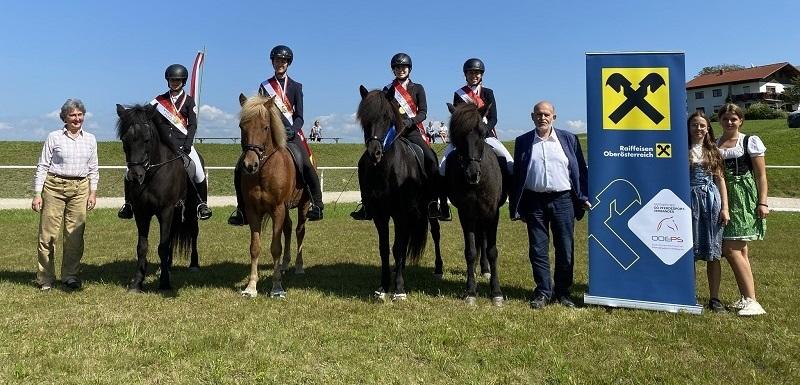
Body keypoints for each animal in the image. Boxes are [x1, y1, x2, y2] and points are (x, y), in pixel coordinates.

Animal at [116, 103, 202, 292]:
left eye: (147, 139)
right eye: (124, 140)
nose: (135, 176)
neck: (151, 174)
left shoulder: (166, 211)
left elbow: (162, 246)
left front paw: (164, 283)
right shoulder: (141, 212)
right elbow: (142, 247)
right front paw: (137, 283)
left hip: (190, 211)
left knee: (194, 233)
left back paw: (193, 264)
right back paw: (167, 266)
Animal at [238, 93, 310, 296]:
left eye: (265, 127)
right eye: (242, 126)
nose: (250, 165)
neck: (264, 171)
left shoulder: (277, 209)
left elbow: (275, 247)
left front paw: (277, 287)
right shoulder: (253, 211)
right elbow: (255, 247)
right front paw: (251, 287)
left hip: (303, 205)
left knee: (299, 230)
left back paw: (299, 267)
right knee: (288, 228)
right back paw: (285, 265)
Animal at [356, 86, 444, 300]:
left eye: (387, 118)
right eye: (364, 119)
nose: (374, 153)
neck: (386, 170)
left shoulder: (401, 213)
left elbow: (398, 247)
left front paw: (399, 289)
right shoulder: (380, 214)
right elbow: (385, 249)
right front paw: (383, 287)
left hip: (429, 208)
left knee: (435, 233)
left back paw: (438, 269)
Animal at [444, 102, 506, 306]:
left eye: (482, 132)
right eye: (458, 135)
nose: (472, 174)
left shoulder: (492, 213)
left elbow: (492, 250)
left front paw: (496, 292)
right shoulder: (466, 214)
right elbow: (470, 251)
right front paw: (470, 291)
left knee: (484, 240)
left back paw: (486, 270)